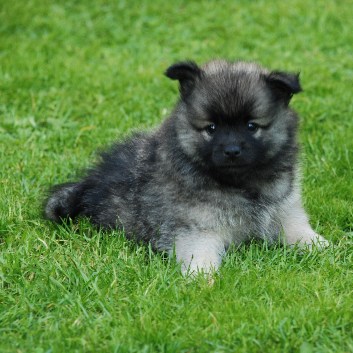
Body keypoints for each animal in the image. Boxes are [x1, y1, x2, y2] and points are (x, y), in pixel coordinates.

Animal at [45, 59, 328, 274]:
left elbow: (299, 230)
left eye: (251, 126)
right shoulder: (197, 228)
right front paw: (202, 279)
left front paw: (321, 247)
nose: (232, 151)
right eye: (211, 128)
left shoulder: (284, 208)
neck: (242, 185)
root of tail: (90, 180)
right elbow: (200, 255)